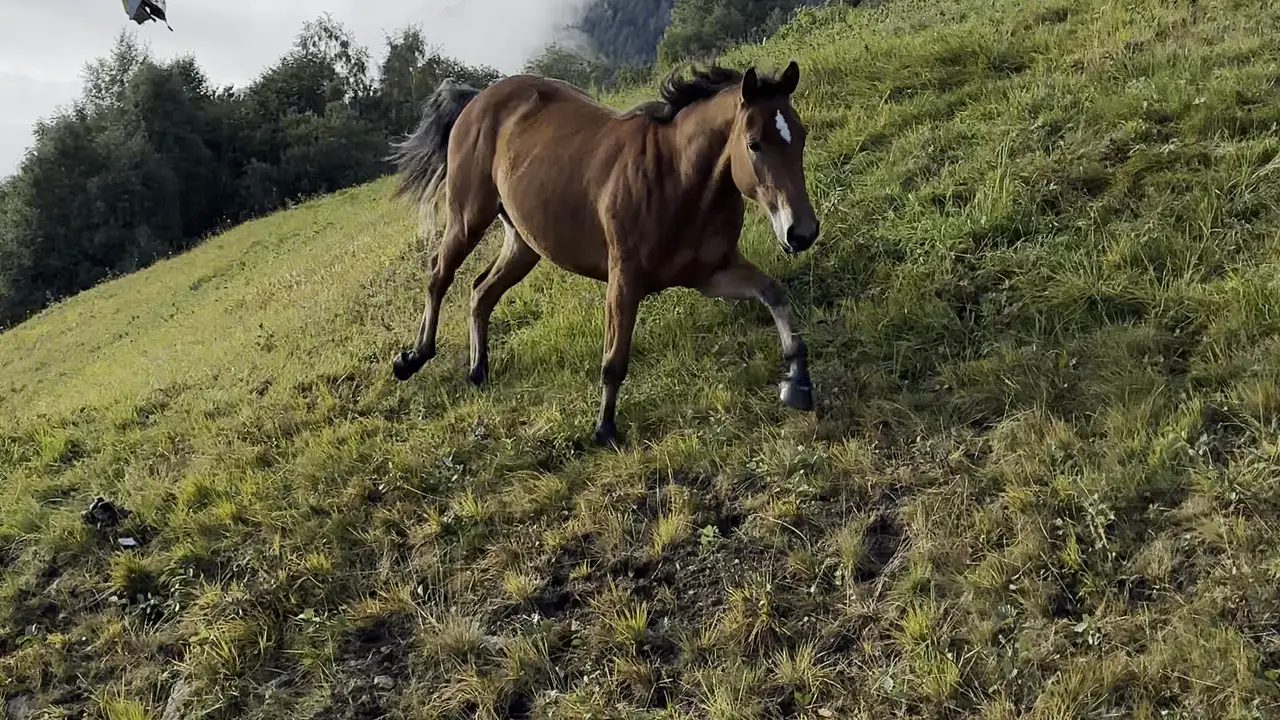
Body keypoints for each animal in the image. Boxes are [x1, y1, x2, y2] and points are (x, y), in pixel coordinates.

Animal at [386, 61, 821, 446]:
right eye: (754, 143)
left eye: (800, 135)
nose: (801, 232)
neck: (677, 177)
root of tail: (476, 99)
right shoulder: (624, 278)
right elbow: (614, 359)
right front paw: (604, 430)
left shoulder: (711, 274)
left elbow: (773, 293)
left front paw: (797, 383)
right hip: (468, 217)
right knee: (439, 275)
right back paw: (414, 357)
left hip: (523, 243)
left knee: (481, 291)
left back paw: (477, 369)